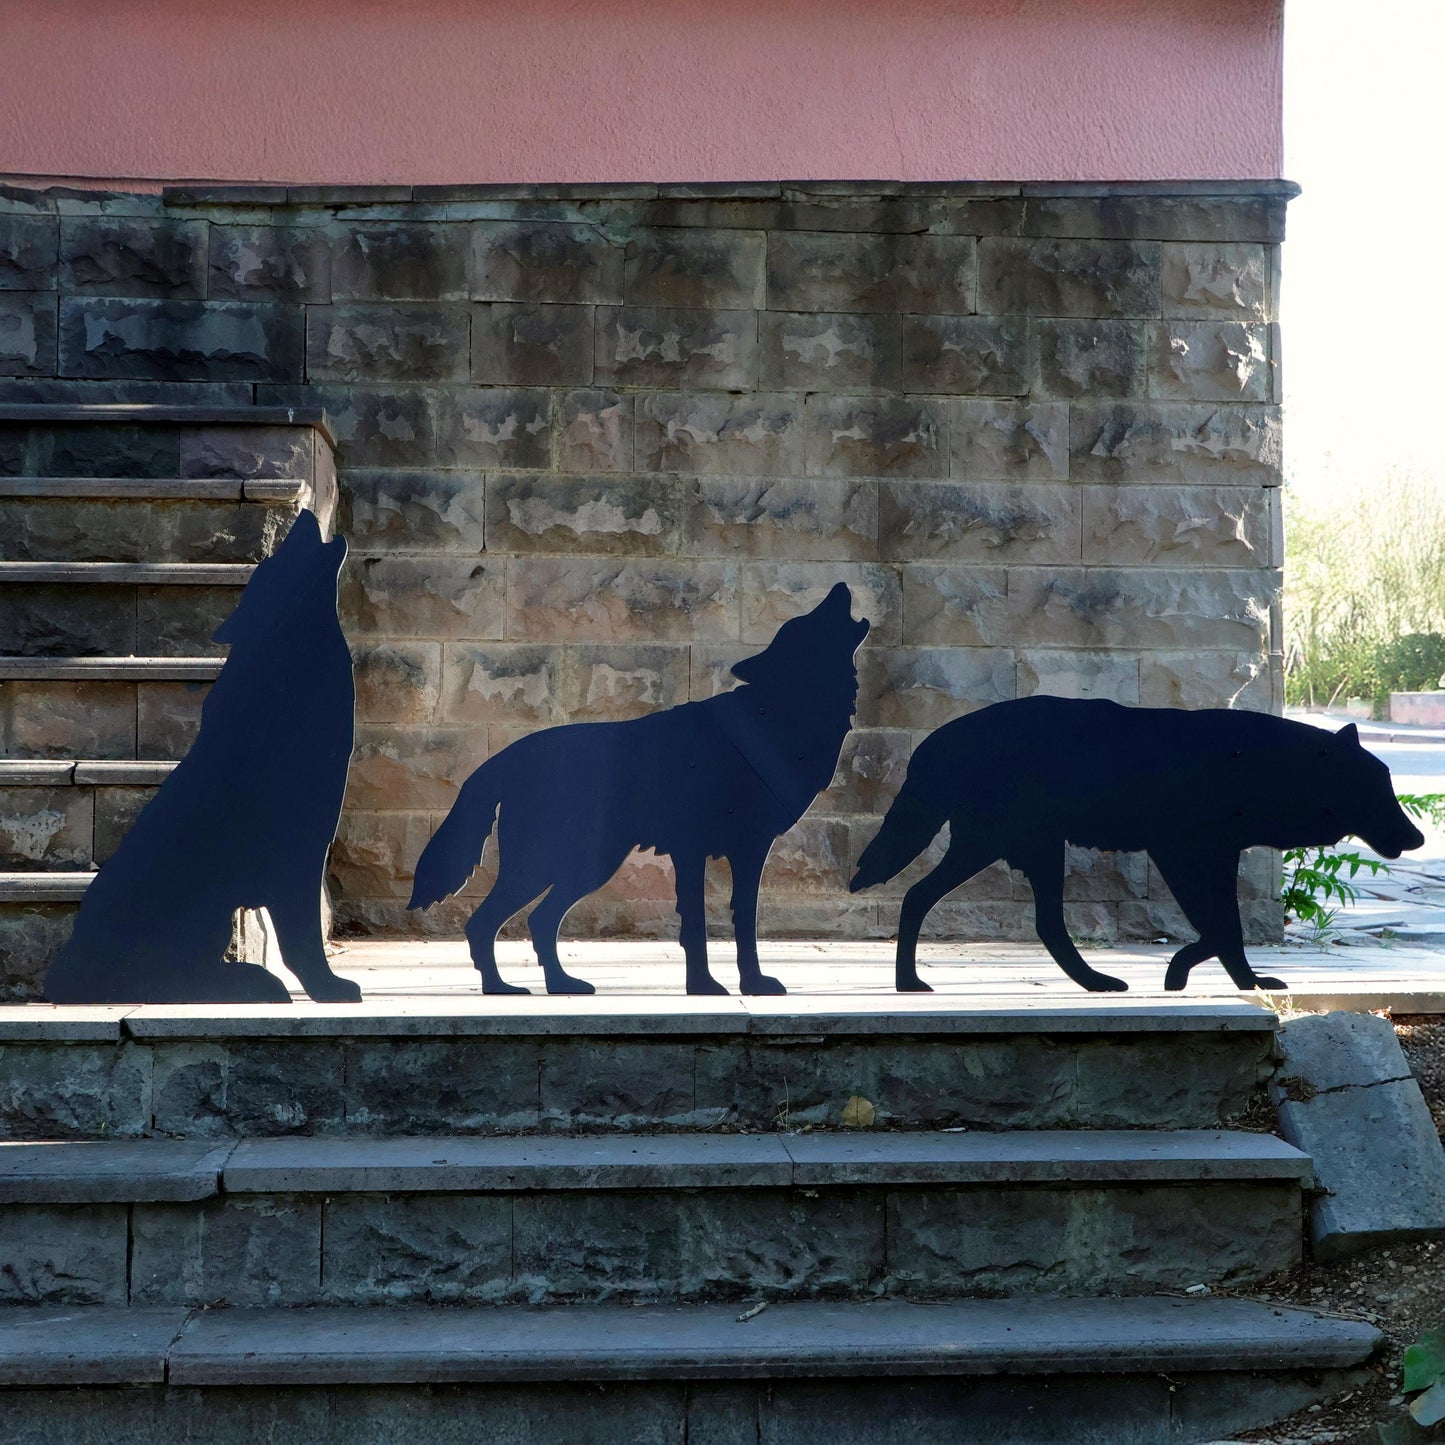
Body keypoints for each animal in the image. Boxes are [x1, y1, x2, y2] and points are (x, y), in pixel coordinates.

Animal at [43, 509, 362, 1005]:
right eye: (271, 566)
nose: (307, 514)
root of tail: (63, 971)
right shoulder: (299, 846)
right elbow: (302, 936)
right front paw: (328, 988)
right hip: (197, 895)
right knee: (162, 971)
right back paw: (253, 983)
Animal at [409, 582, 870, 995]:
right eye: (805, 623)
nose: (840, 585)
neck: (779, 717)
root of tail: (504, 758)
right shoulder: (711, 851)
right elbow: (705, 923)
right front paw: (714, 988)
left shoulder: (732, 853)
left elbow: (732, 923)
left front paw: (739, 985)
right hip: (558, 865)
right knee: (486, 922)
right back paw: (501, 988)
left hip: (589, 865)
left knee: (537, 921)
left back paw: (559, 985)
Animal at [851, 696, 1423, 994]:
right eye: (1378, 789)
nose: (1419, 838)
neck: (1256, 766)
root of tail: (936, 741)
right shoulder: (1179, 851)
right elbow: (1223, 927)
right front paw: (1191, 972)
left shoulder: (1214, 853)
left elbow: (1225, 926)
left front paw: (1234, 978)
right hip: (996, 847)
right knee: (918, 897)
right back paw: (908, 983)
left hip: (1035, 849)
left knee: (1046, 924)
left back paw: (1095, 982)